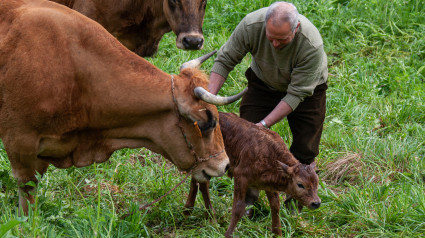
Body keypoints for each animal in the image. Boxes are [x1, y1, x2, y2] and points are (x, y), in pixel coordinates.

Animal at [184, 112, 320, 237]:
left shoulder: (268, 185)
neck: (271, 156)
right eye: (300, 184)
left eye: (317, 183)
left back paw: (189, 210)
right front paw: (228, 234)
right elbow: (239, 208)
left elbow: (275, 207)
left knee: (197, 180)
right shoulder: (241, 176)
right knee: (203, 185)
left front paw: (278, 233)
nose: (316, 203)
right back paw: (209, 216)